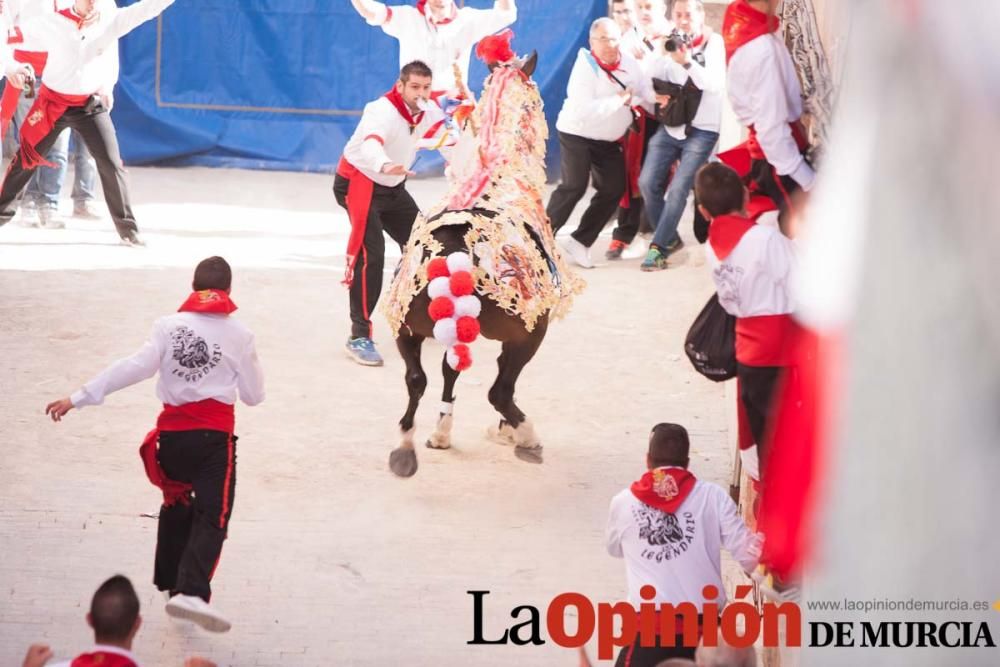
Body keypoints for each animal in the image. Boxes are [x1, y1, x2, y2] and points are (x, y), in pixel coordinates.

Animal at [382, 53, 584, 480]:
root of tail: (456, 249)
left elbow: (447, 371)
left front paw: (441, 432)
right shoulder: (522, 331)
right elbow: (494, 381)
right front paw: (509, 430)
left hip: (406, 326)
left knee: (415, 378)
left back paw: (405, 445)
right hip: (528, 333)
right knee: (499, 390)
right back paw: (526, 437)